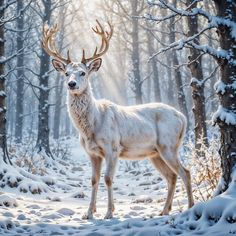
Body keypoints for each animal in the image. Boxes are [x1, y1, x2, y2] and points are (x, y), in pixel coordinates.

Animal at [42, 20, 194, 219]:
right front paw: (88, 213)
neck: (92, 125)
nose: (71, 84)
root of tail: (183, 118)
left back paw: (190, 207)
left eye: (83, 72)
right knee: (172, 176)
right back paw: (164, 210)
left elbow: (108, 178)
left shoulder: (112, 147)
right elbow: (93, 179)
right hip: (155, 152)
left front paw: (109, 213)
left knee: (185, 172)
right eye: (66, 73)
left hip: (169, 145)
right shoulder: (92, 153)